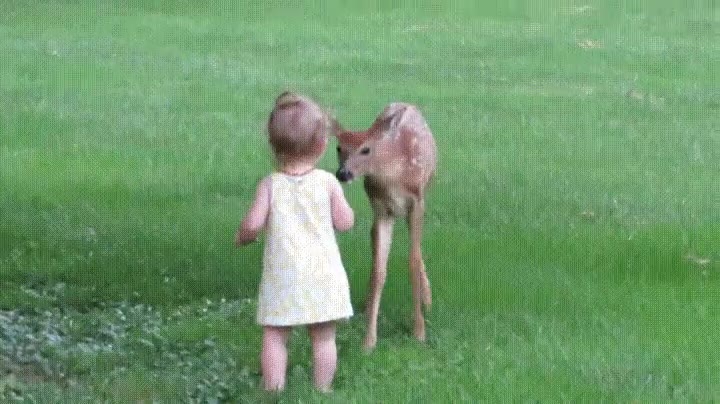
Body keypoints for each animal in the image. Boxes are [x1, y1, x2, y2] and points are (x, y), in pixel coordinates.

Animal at [333, 102, 437, 351]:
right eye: (339, 148)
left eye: (366, 149)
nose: (343, 173)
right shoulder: (381, 210)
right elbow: (379, 270)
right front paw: (369, 340)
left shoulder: (417, 204)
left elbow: (412, 261)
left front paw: (419, 332)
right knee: (374, 252)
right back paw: (366, 305)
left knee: (416, 252)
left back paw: (427, 302)